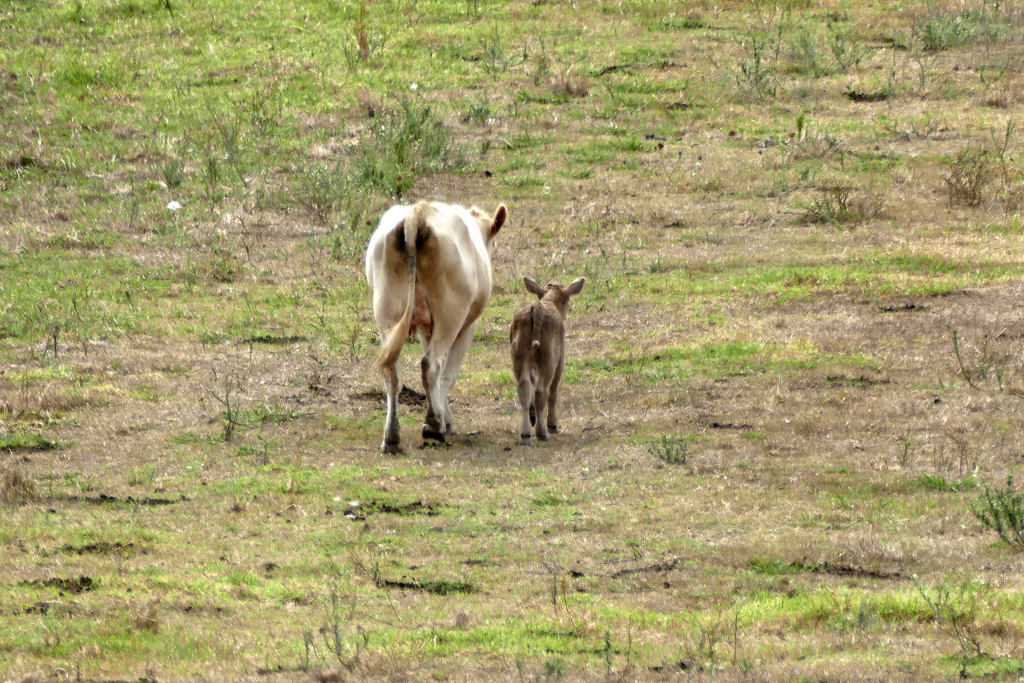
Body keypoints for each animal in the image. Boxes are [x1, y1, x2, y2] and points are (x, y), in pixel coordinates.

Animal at [368, 198, 512, 454]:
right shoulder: (467, 327)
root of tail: (417, 214)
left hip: (386, 312)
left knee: (392, 372)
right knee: (432, 364)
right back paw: (433, 426)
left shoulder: (426, 328)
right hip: (450, 314)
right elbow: (448, 374)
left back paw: (392, 438)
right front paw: (446, 421)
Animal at [509, 274, 585, 446]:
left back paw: (525, 434)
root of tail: (537, 308)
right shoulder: (561, 359)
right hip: (549, 357)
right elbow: (553, 391)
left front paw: (533, 416)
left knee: (524, 387)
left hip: (519, 354)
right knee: (542, 391)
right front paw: (553, 425)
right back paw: (542, 432)